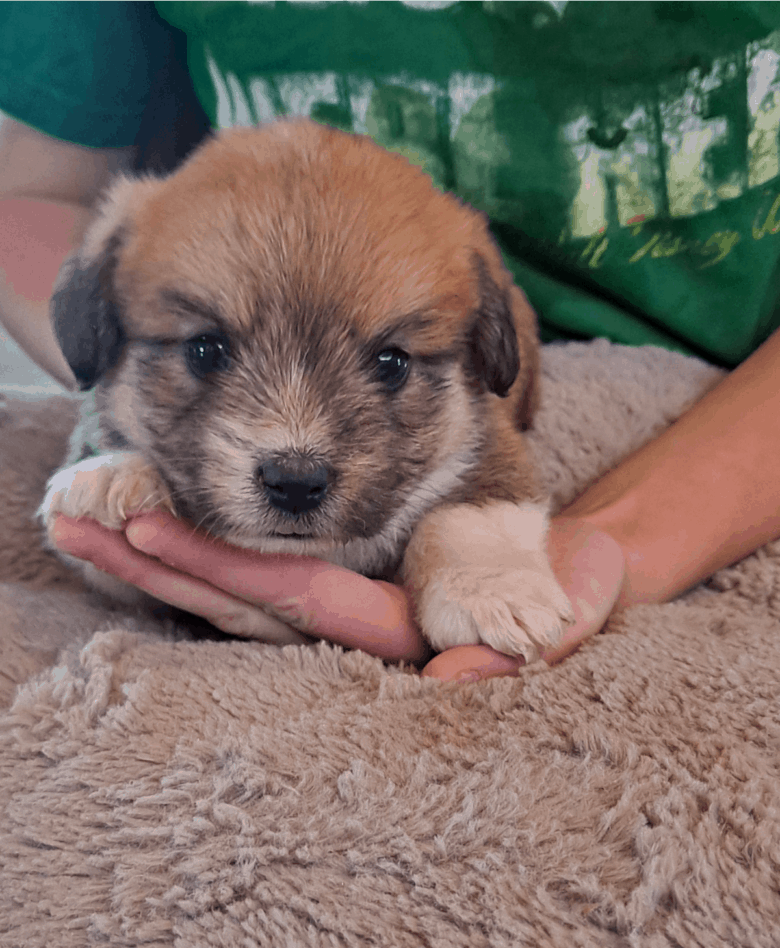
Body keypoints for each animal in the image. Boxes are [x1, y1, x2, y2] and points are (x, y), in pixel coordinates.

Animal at [38, 118, 572, 664]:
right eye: (204, 350)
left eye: (393, 362)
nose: (294, 482)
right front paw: (113, 474)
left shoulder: (491, 445)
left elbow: (472, 514)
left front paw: (491, 592)